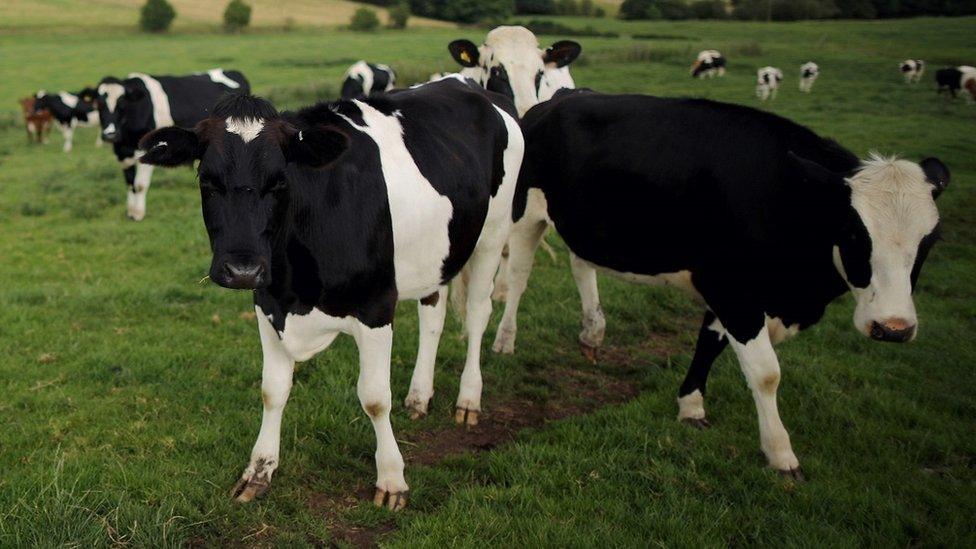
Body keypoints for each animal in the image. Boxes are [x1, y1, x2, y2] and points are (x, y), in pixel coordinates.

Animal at [96, 69, 250, 219]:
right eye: (98, 105)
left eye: (121, 104)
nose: (110, 134)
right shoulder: (123, 154)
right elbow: (129, 183)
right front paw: (131, 212)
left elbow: (139, 185)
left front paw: (138, 214)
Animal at [135, 78, 528, 510]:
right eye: (207, 180)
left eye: (281, 180)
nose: (242, 270)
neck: (298, 291)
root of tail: (471, 84)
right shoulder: (268, 304)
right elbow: (273, 390)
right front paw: (259, 470)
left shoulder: (376, 306)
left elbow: (374, 397)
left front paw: (392, 479)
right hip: (437, 253)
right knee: (433, 316)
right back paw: (419, 396)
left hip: (493, 232)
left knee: (477, 313)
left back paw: (468, 399)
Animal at [496, 90, 944, 476]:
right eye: (853, 233)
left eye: (930, 241)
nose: (893, 327)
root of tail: (559, 100)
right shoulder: (734, 290)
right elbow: (766, 373)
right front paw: (781, 453)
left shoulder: (729, 290)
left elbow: (709, 342)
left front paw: (691, 406)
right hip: (525, 213)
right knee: (517, 275)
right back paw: (505, 340)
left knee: (580, 264)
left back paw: (592, 331)